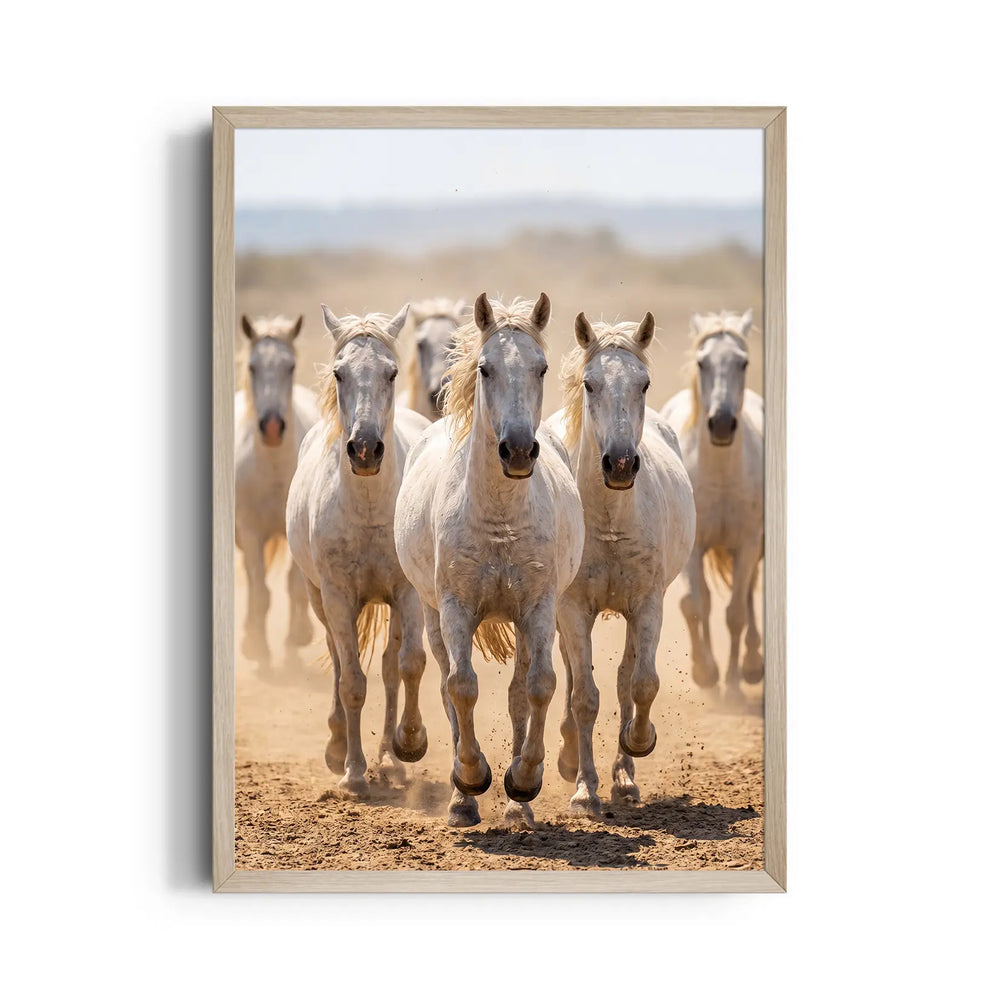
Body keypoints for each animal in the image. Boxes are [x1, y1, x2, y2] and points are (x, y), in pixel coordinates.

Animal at [285, 304, 432, 798]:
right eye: (339, 373)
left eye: (391, 373)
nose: (366, 449)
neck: (367, 507)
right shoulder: (336, 596)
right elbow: (350, 681)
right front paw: (351, 771)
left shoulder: (407, 593)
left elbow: (409, 665)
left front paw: (409, 744)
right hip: (318, 598)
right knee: (336, 659)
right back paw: (340, 747)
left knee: (389, 668)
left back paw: (390, 759)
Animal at [394, 293, 585, 828]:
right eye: (485, 368)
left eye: (542, 368)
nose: (517, 450)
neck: (500, 517)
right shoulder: (455, 608)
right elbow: (461, 687)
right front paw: (471, 779)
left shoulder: (538, 608)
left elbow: (540, 686)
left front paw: (524, 781)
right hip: (432, 615)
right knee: (445, 687)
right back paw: (462, 800)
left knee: (520, 692)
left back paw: (520, 809)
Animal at [545, 312, 695, 815]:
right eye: (589, 384)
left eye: (644, 383)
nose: (621, 464)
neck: (610, 520)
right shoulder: (572, 609)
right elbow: (583, 697)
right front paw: (583, 788)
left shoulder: (647, 604)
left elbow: (641, 683)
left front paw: (637, 744)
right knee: (574, 677)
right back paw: (570, 756)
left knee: (626, 676)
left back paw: (625, 775)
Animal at [660, 310, 764, 702]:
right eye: (702, 363)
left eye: (743, 362)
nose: (720, 424)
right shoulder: (695, 546)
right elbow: (695, 604)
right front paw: (705, 673)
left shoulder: (748, 543)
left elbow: (735, 612)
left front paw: (734, 681)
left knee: (746, 596)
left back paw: (751, 665)